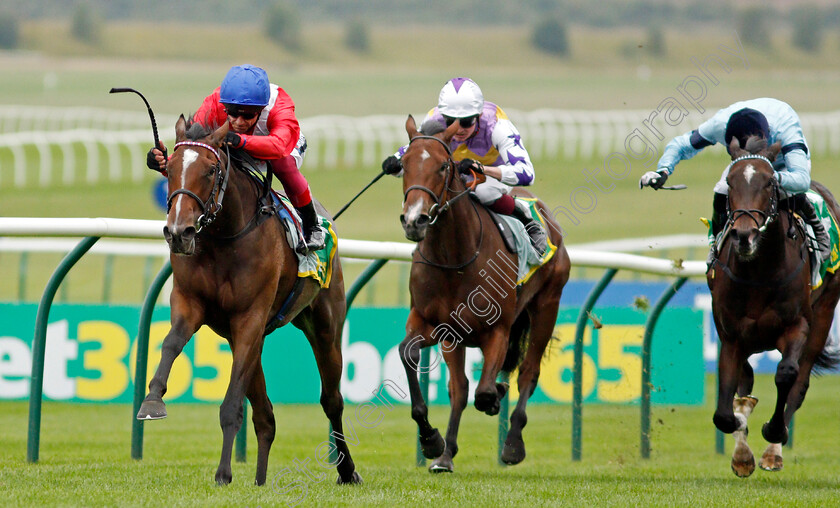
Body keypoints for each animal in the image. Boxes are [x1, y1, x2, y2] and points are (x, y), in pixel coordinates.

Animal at [137, 117, 360, 486]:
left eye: (211, 170)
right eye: (170, 168)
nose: (179, 232)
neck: (224, 237)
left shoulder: (250, 318)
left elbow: (232, 405)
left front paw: (223, 473)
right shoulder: (190, 303)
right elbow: (170, 343)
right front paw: (153, 400)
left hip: (324, 325)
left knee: (332, 400)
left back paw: (347, 470)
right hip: (248, 338)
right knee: (266, 416)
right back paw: (260, 479)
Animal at [396, 115, 572, 472]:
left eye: (443, 166)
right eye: (404, 164)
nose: (414, 220)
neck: (455, 259)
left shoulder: (497, 330)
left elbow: (486, 391)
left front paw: (495, 401)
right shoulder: (438, 325)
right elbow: (416, 358)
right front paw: (434, 443)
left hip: (547, 304)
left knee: (528, 373)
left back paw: (513, 443)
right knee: (464, 388)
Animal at [708, 136, 840, 476]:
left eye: (770, 182)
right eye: (730, 181)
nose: (744, 234)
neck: (759, 273)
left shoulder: (797, 325)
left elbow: (786, 375)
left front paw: (774, 430)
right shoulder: (731, 335)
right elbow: (726, 407)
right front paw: (741, 441)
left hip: (824, 313)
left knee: (800, 380)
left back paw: (773, 451)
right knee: (746, 379)